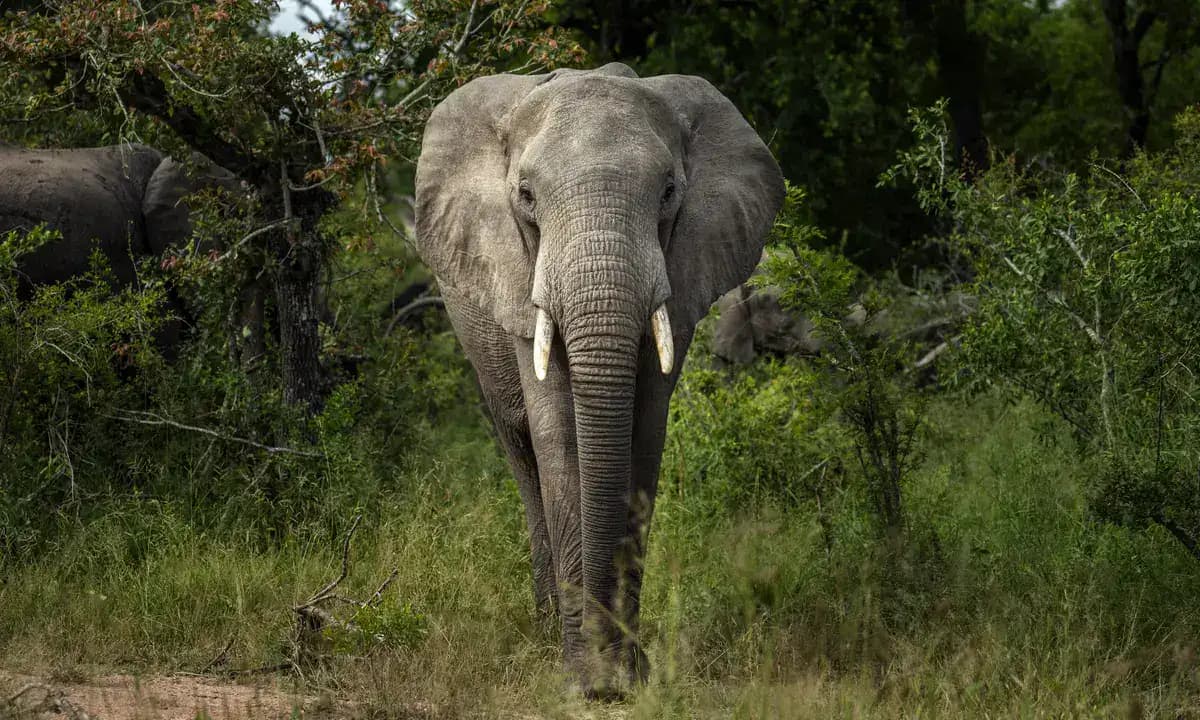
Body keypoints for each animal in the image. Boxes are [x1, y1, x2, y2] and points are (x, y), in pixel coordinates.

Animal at [414, 62, 784, 696]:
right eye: (526, 196)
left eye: (668, 192)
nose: (603, 676)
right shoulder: (518, 277)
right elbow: (559, 436)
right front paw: (583, 680)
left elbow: (643, 435)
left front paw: (626, 677)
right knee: (522, 455)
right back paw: (543, 632)